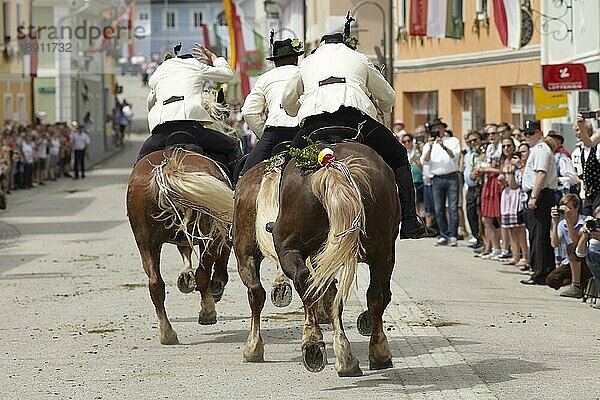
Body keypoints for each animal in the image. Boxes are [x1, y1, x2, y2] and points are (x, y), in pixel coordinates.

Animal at [270, 142, 398, 376]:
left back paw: (316, 345)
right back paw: (371, 352)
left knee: (306, 283)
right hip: (381, 253)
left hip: (290, 249)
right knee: (374, 295)